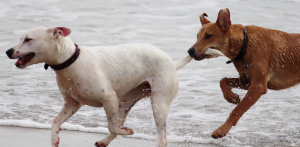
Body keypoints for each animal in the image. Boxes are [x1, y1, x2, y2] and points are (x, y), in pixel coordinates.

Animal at [5, 26, 224, 147]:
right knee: (117, 124)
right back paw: (103, 142)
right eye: (21, 39)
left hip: (158, 103)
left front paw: (128, 132)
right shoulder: (72, 104)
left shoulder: (108, 98)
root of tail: (172, 62)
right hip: (125, 101)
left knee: (160, 137)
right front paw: (54, 140)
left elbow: (112, 125)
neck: (72, 62)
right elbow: (55, 122)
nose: (7, 51)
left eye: (28, 39)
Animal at [189, 7, 300, 139]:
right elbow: (223, 80)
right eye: (197, 36)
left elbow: (237, 110)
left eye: (208, 36)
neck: (244, 45)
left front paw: (222, 130)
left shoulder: (258, 86)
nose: (190, 51)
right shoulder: (247, 81)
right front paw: (231, 97)